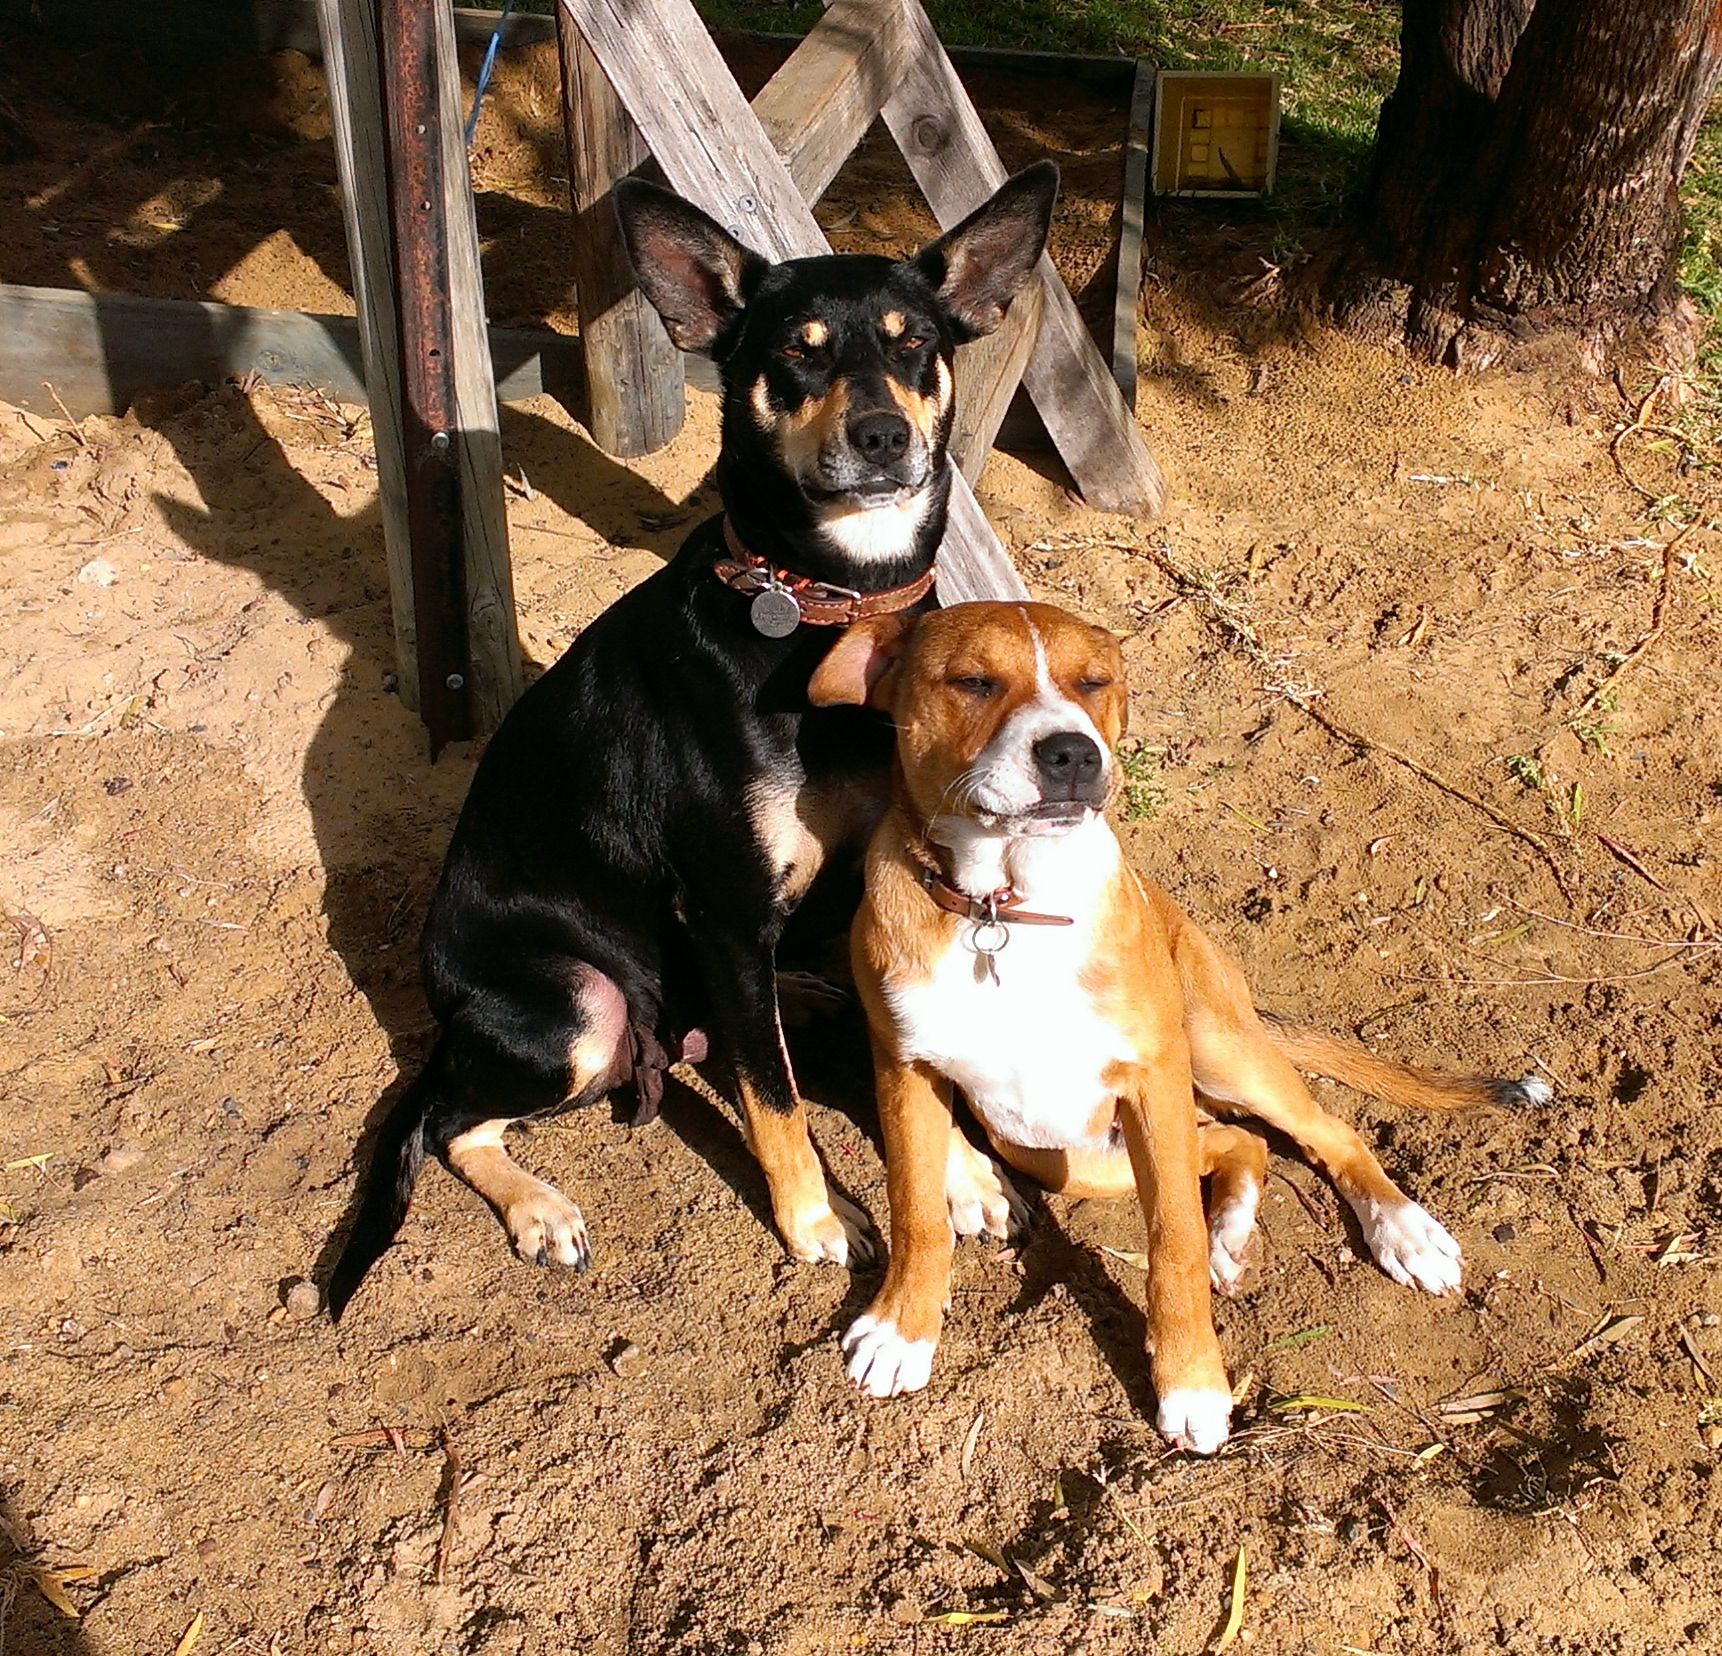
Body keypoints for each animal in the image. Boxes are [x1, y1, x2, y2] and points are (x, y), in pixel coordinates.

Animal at [323, 165, 1062, 1320]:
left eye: (915, 346)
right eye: (799, 350)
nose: (882, 437)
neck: (832, 615)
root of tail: (447, 1009)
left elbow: (909, 1056)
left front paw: (972, 1178)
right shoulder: (721, 908)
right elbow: (774, 1099)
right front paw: (816, 1219)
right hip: (579, 1010)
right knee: (448, 1121)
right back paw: (539, 1208)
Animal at [808, 600, 1550, 1453]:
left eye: (1094, 682)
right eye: (972, 681)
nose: (1073, 754)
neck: (1005, 911)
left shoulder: (1153, 1078)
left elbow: (1172, 1241)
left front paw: (1191, 1381)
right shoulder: (905, 1069)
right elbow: (916, 1208)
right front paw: (903, 1329)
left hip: (1216, 1052)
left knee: (1324, 1131)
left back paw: (1400, 1229)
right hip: (1065, 1154)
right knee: (1234, 1141)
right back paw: (1231, 1226)